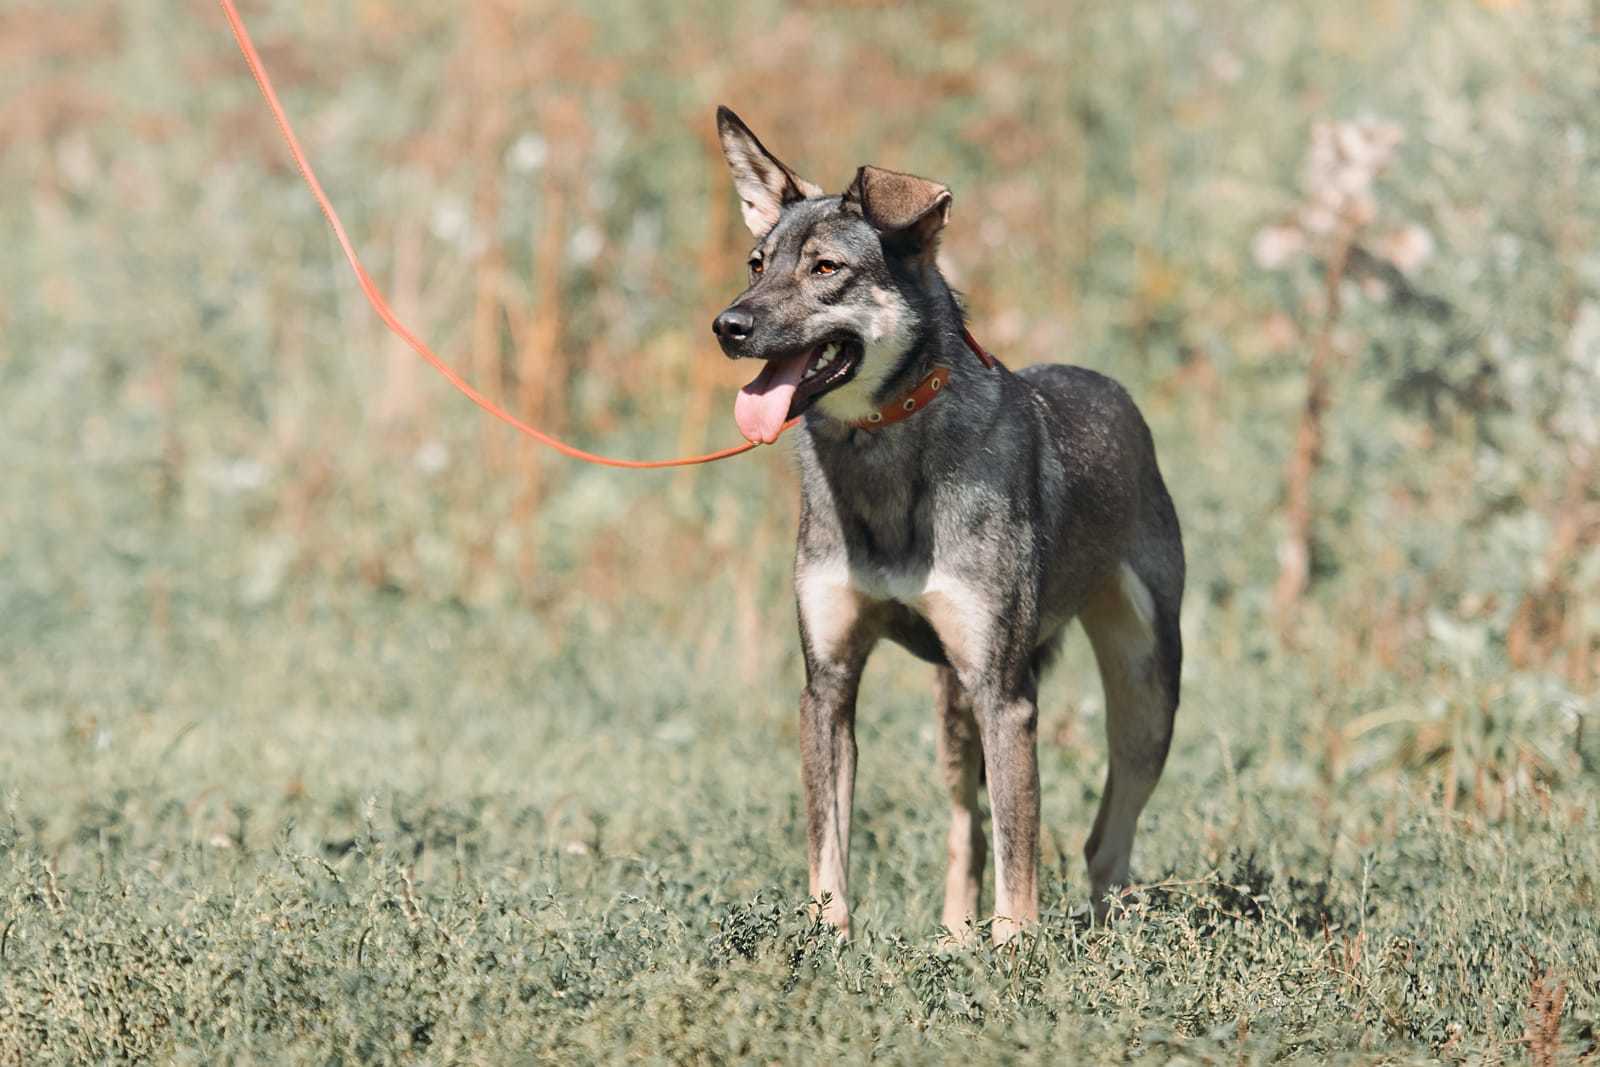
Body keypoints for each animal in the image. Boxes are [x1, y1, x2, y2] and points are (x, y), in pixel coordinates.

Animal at [707, 106, 1184, 940]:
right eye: (756, 262)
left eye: (825, 268)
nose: (727, 324)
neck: (883, 456)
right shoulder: (828, 686)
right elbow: (829, 850)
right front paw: (829, 941)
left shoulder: (1006, 693)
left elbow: (1021, 866)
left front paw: (1017, 950)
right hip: (954, 707)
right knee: (969, 826)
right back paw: (958, 938)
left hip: (1146, 692)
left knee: (1105, 840)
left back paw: (1108, 937)